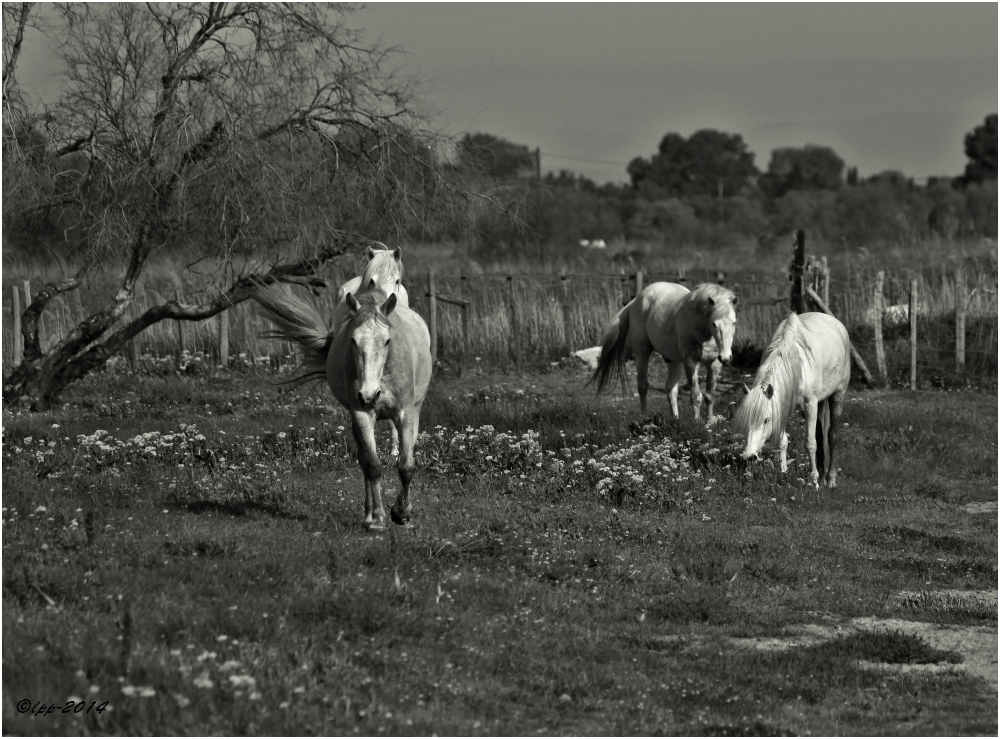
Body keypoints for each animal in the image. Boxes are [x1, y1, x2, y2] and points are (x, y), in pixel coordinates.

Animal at [250, 280, 430, 528]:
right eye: (353, 340)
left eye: (387, 340)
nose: (369, 395)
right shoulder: (361, 414)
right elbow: (373, 466)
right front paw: (378, 518)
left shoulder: (406, 415)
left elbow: (406, 466)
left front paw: (402, 512)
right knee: (364, 460)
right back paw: (368, 514)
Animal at [588, 284, 740, 422]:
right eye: (714, 323)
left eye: (734, 323)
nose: (726, 357)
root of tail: (637, 299)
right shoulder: (691, 362)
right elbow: (696, 396)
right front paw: (697, 423)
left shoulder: (714, 364)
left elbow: (710, 396)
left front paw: (709, 422)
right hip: (642, 353)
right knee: (643, 386)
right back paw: (645, 417)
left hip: (674, 361)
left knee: (671, 390)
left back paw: (675, 419)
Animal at [732, 310, 848, 488]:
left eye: (766, 420)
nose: (749, 456)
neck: (795, 363)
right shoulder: (782, 404)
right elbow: (783, 441)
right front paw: (784, 473)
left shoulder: (810, 404)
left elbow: (810, 443)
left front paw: (814, 481)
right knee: (821, 434)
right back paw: (822, 476)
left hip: (838, 393)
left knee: (832, 435)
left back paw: (830, 479)